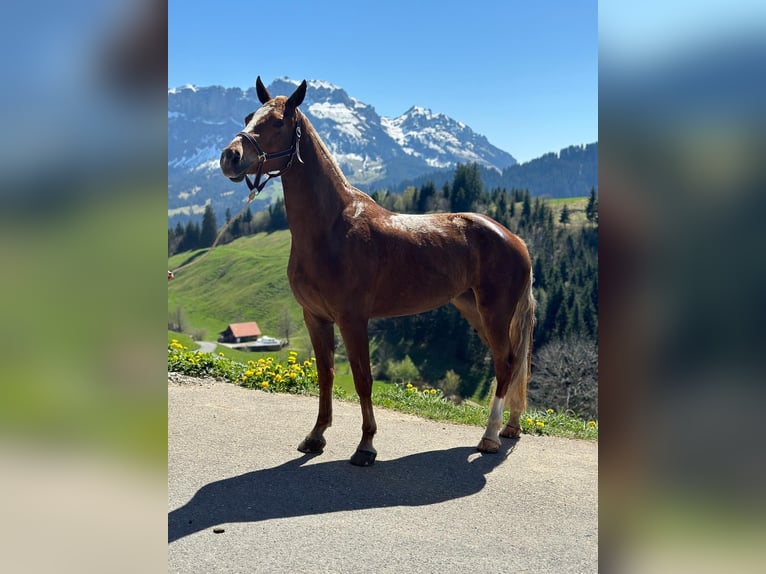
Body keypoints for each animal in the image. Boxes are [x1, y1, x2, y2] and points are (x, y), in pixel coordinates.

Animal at [219, 77, 536, 468]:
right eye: (249, 116)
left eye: (278, 122)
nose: (231, 157)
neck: (331, 227)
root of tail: (515, 239)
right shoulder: (315, 317)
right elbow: (326, 376)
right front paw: (316, 436)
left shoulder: (353, 319)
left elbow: (362, 379)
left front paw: (366, 445)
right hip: (473, 309)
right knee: (510, 362)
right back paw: (510, 426)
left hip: (495, 313)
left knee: (506, 364)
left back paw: (490, 436)